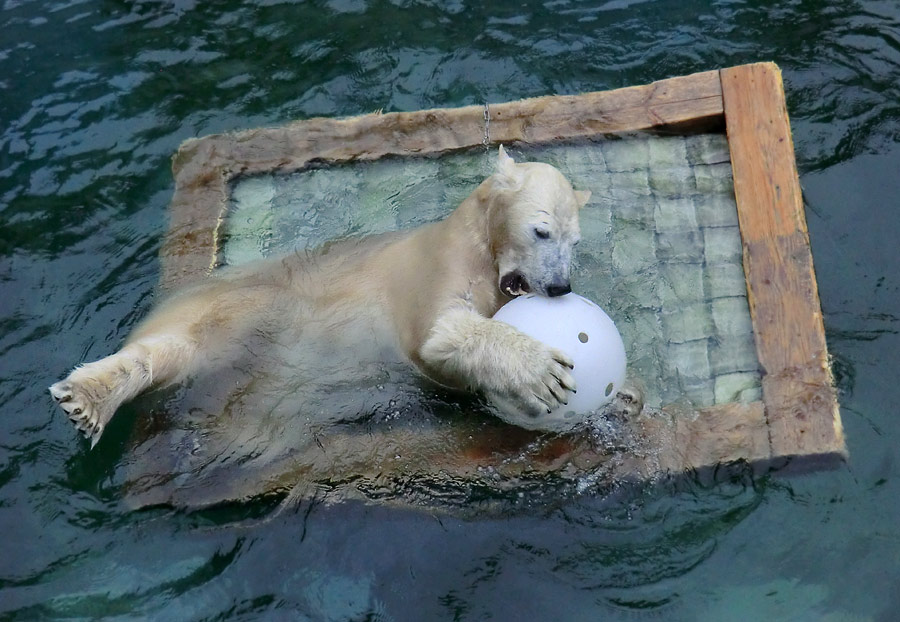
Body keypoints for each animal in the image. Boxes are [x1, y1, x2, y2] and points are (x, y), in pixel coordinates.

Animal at [52, 146, 596, 448]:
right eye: (541, 230)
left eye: (574, 241)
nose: (559, 287)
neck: (478, 246)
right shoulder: (434, 269)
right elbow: (439, 335)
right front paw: (544, 373)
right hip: (222, 310)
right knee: (168, 350)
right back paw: (88, 399)